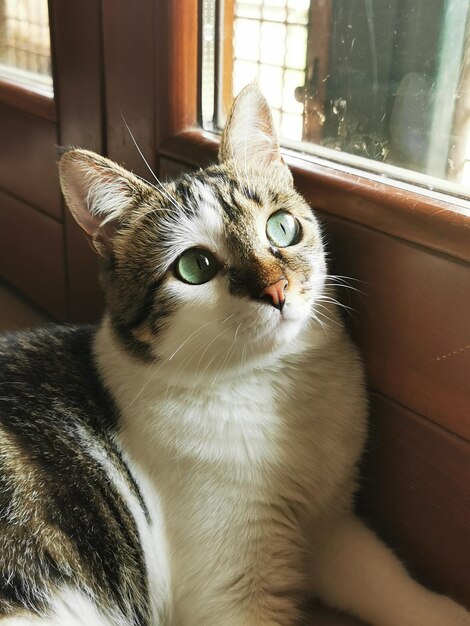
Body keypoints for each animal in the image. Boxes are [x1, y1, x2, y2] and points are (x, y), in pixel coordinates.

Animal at [0, 86, 470, 624]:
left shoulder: (330, 527)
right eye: (194, 267)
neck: (268, 382)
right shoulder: (229, 591)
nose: (277, 289)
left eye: (282, 228)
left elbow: (391, 581)